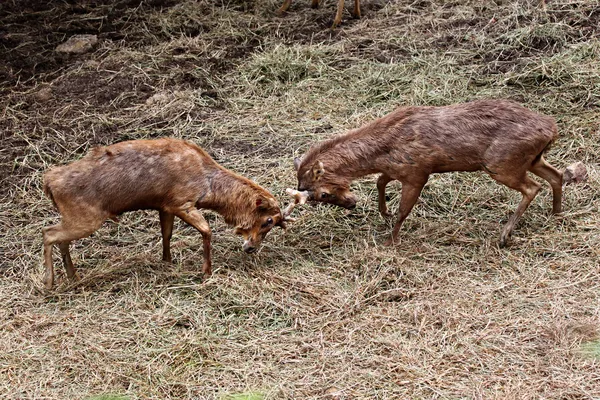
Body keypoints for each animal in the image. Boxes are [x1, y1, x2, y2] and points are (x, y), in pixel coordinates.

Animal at [41, 139, 288, 290]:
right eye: (267, 220)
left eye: (275, 224)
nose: (251, 248)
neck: (208, 189)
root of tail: (49, 183)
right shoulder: (181, 201)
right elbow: (206, 230)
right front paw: (206, 272)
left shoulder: (164, 206)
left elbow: (166, 234)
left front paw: (167, 261)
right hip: (85, 217)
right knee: (48, 233)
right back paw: (49, 283)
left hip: (76, 217)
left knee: (61, 239)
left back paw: (73, 276)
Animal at [292, 98, 564, 245]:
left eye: (322, 194)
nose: (351, 204)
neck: (382, 152)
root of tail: (551, 128)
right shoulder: (398, 169)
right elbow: (380, 182)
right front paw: (384, 212)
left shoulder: (417, 172)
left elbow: (403, 210)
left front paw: (391, 240)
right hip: (531, 159)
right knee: (557, 176)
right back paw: (556, 213)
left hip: (501, 163)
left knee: (533, 187)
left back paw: (505, 235)